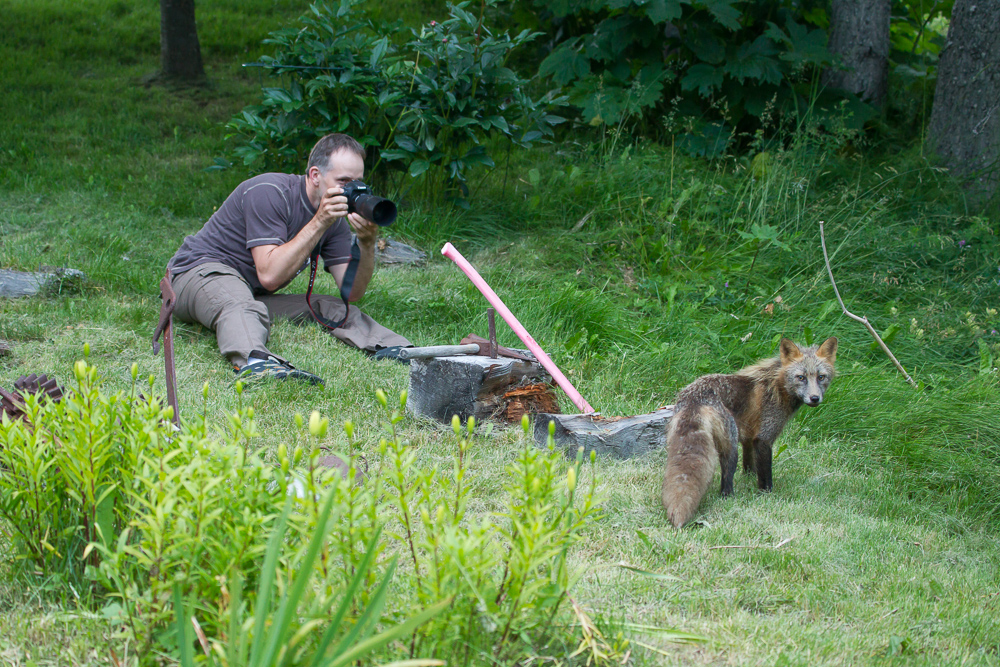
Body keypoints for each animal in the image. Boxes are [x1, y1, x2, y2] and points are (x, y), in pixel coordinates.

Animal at [664, 336, 836, 528]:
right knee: (726, 484)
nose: (815, 398)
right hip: (731, 448)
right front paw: (766, 496)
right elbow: (766, 475)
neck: (776, 387)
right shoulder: (764, 438)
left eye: (821, 377)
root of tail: (694, 398)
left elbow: (750, 466)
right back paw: (730, 499)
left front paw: (748, 479)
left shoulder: (748, 438)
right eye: (801, 377)